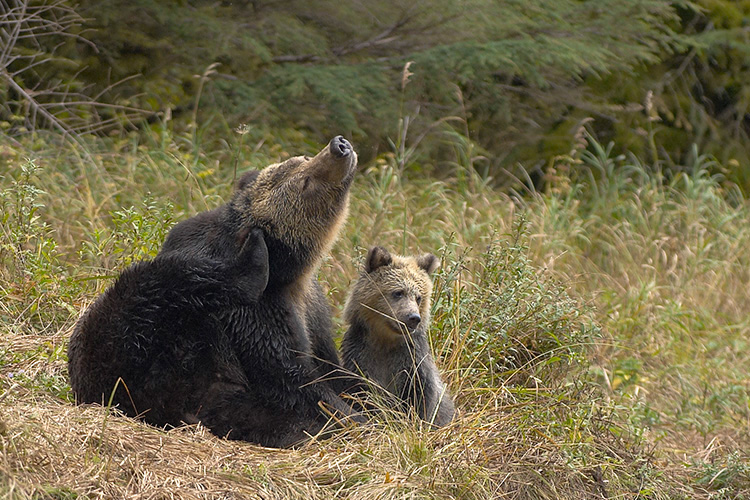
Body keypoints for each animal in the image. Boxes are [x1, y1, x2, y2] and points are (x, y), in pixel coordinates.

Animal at [68, 136, 360, 448]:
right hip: (129, 357)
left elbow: (331, 366)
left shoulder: (314, 311)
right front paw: (356, 418)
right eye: (306, 182)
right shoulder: (259, 313)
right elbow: (290, 376)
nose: (339, 146)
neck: (294, 274)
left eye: (301, 160)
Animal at [340, 246, 455, 427]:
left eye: (419, 297)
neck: (385, 340)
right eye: (398, 292)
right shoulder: (360, 356)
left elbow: (420, 399)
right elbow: (362, 394)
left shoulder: (412, 360)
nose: (413, 318)